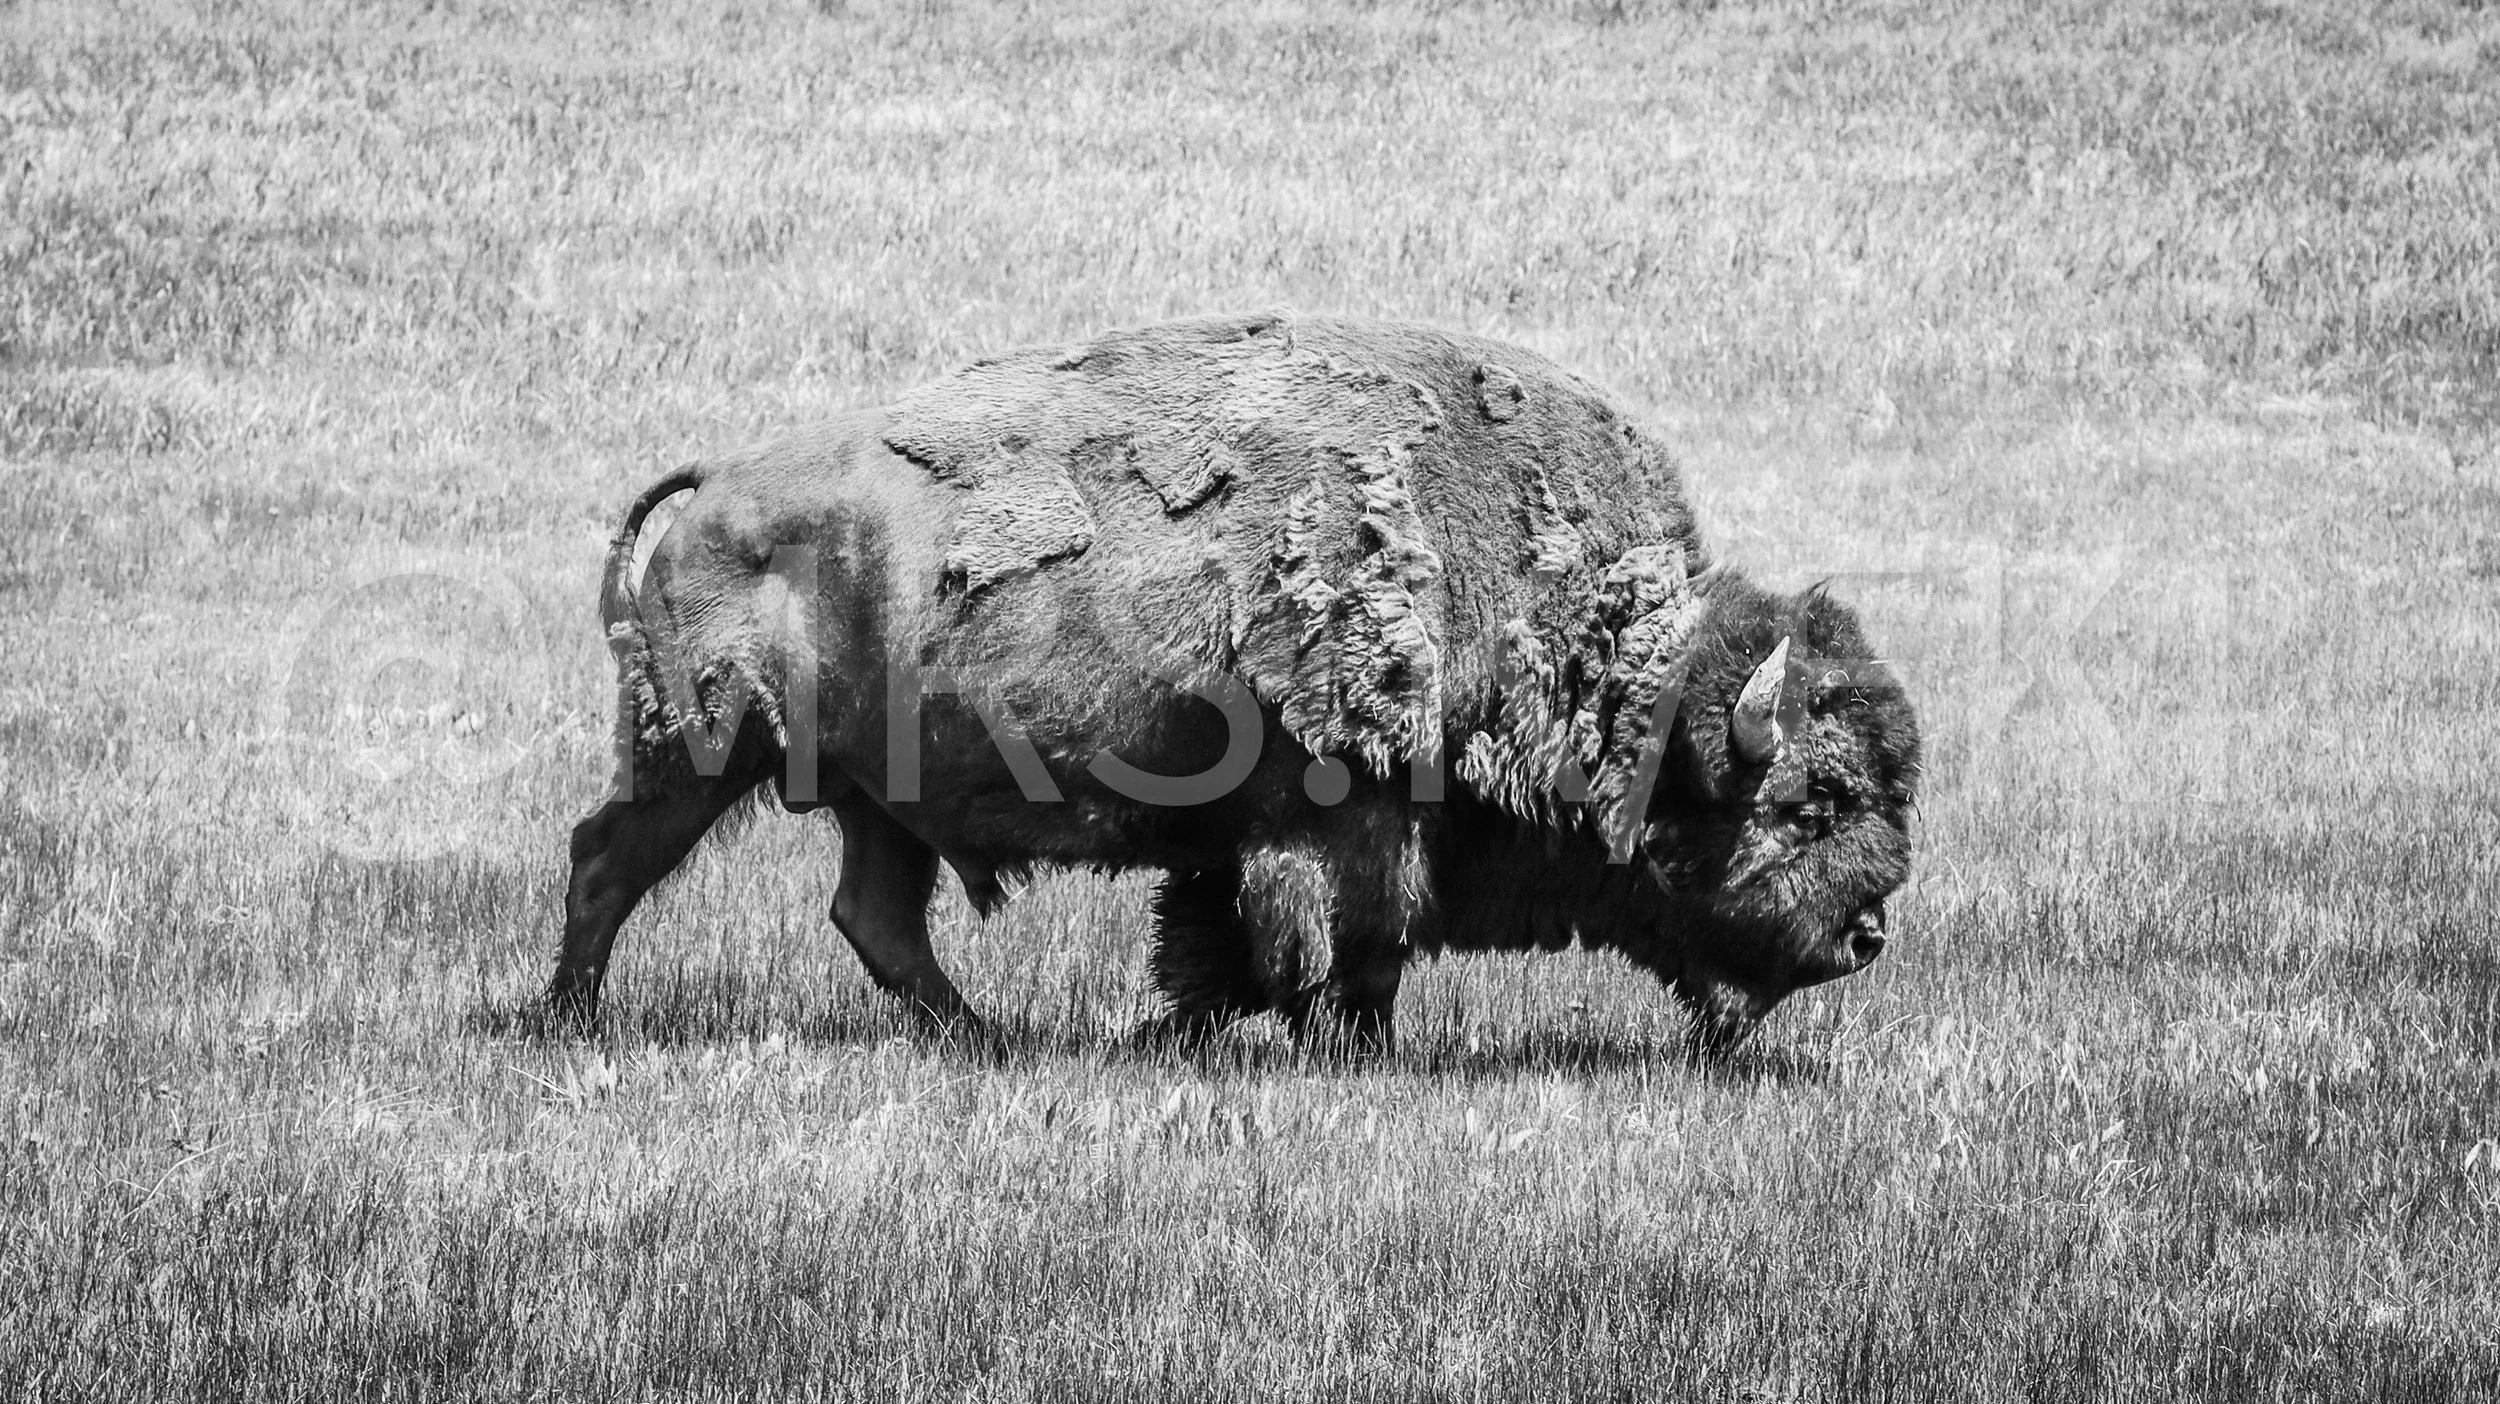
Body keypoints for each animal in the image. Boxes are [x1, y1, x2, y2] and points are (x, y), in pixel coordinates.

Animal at [550, 311, 1919, 1052]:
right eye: (1812, 804)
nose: (1865, 935)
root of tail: (717, 483)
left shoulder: (1263, 842)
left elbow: (1235, 953)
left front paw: (1161, 1033)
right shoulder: (1339, 814)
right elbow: (1334, 947)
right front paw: (1337, 1049)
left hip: (875, 798)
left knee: (875, 918)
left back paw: (984, 1039)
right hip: (698, 748)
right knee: (607, 860)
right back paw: (568, 1017)